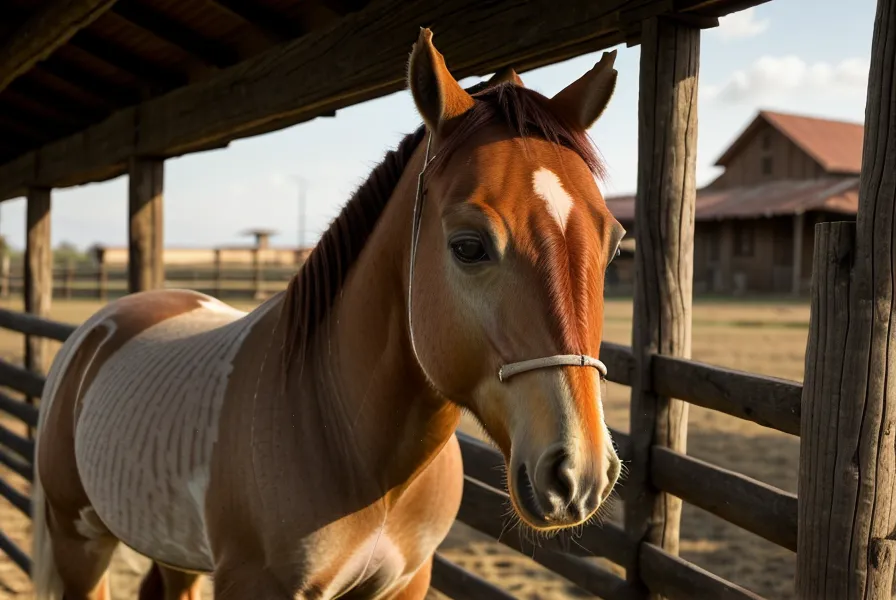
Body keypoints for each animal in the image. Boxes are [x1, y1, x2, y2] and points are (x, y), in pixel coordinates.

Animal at [31, 28, 626, 600]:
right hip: (78, 543)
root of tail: (100, 329)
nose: (577, 474)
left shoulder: (407, 583)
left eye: (614, 241)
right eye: (468, 246)